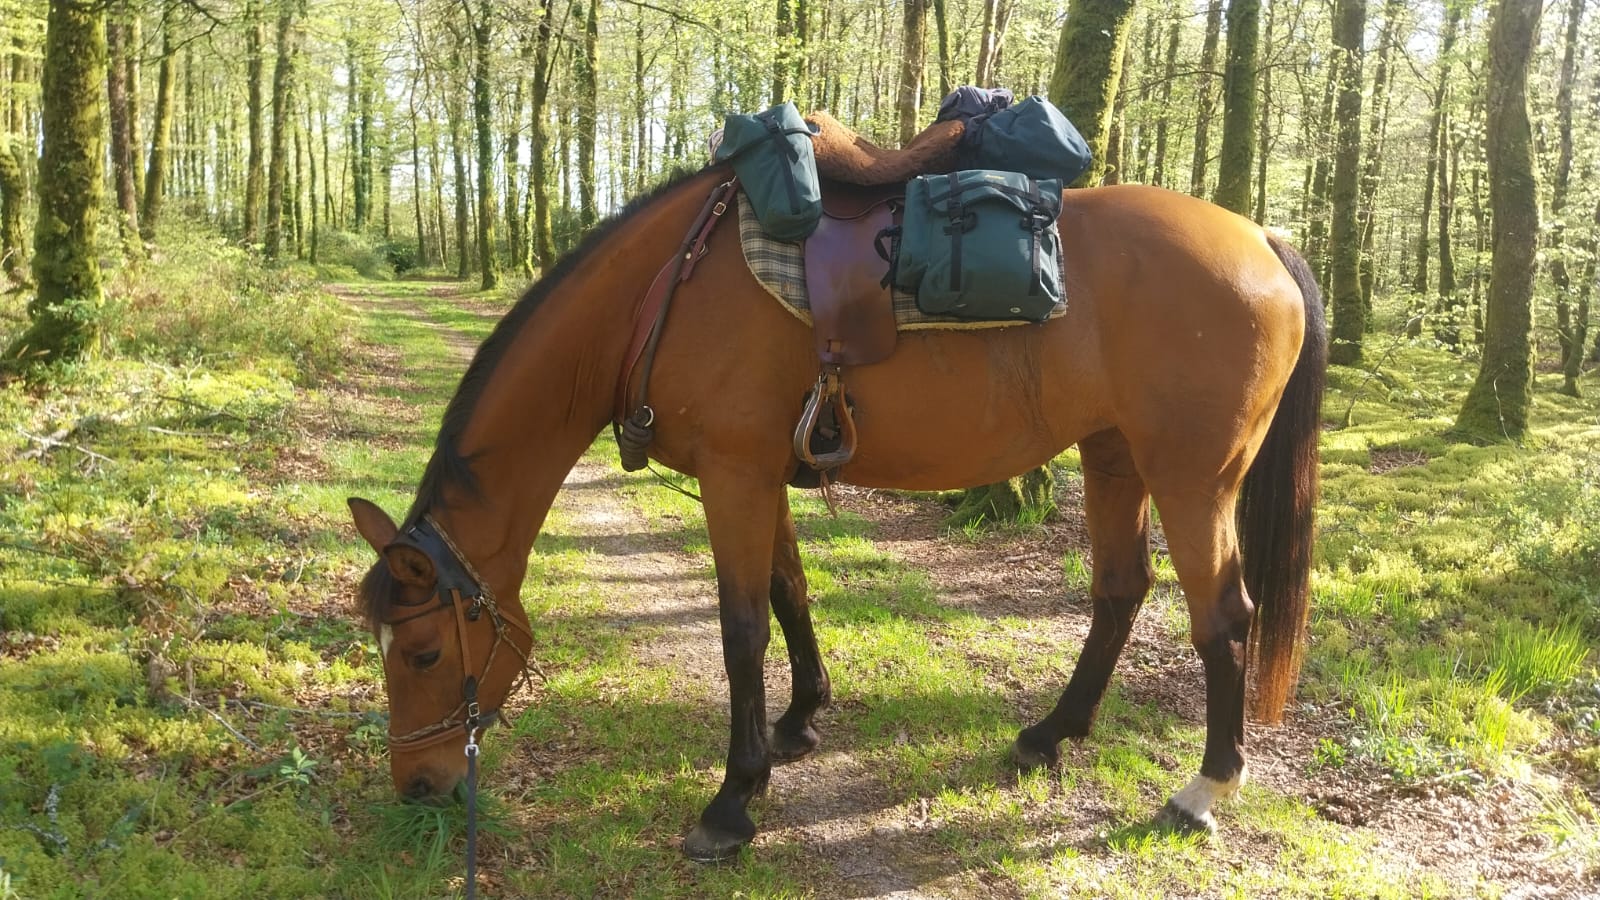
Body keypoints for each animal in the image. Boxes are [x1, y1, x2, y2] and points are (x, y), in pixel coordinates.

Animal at [348, 164, 1326, 863]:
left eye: (425, 651)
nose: (418, 785)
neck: (665, 289)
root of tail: (1262, 236)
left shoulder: (734, 476)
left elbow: (741, 628)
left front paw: (732, 803)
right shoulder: (758, 475)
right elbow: (789, 594)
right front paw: (798, 723)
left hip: (1194, 479)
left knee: (1222, 617)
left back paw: (1204, 790)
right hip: (1113, 454)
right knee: (1121, 589)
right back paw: (1048, 737)